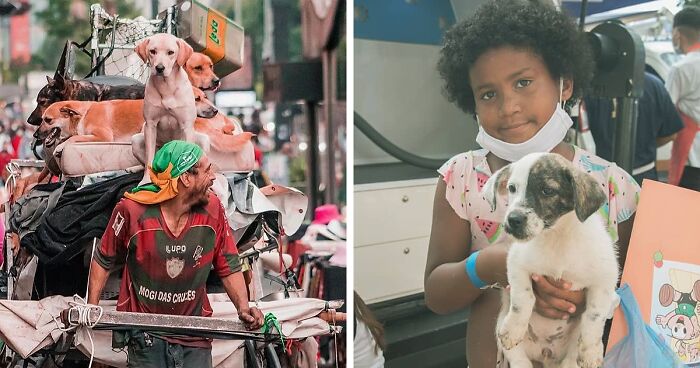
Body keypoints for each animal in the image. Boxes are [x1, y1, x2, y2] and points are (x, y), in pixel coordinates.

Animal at [130, 33, 209, 185]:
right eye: (152, 51)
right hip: (136, 140)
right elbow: (149, 160)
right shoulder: (150, 125)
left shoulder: (186, 126)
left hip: (203, 140)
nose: (159, 68)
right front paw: (146, 180)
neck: (166, 86)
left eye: (171, 52)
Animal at [484, 152, 620, 368]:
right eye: (512, 188)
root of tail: (545, 353)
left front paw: (591, 351)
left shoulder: (605, 279)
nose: (513, 220)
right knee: (520, 360)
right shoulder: (516, 264)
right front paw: (513, 329)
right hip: (506, 337)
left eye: (547, 190)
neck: (557, 236)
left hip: (571, 353)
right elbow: (523, 298)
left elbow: (594, 316)